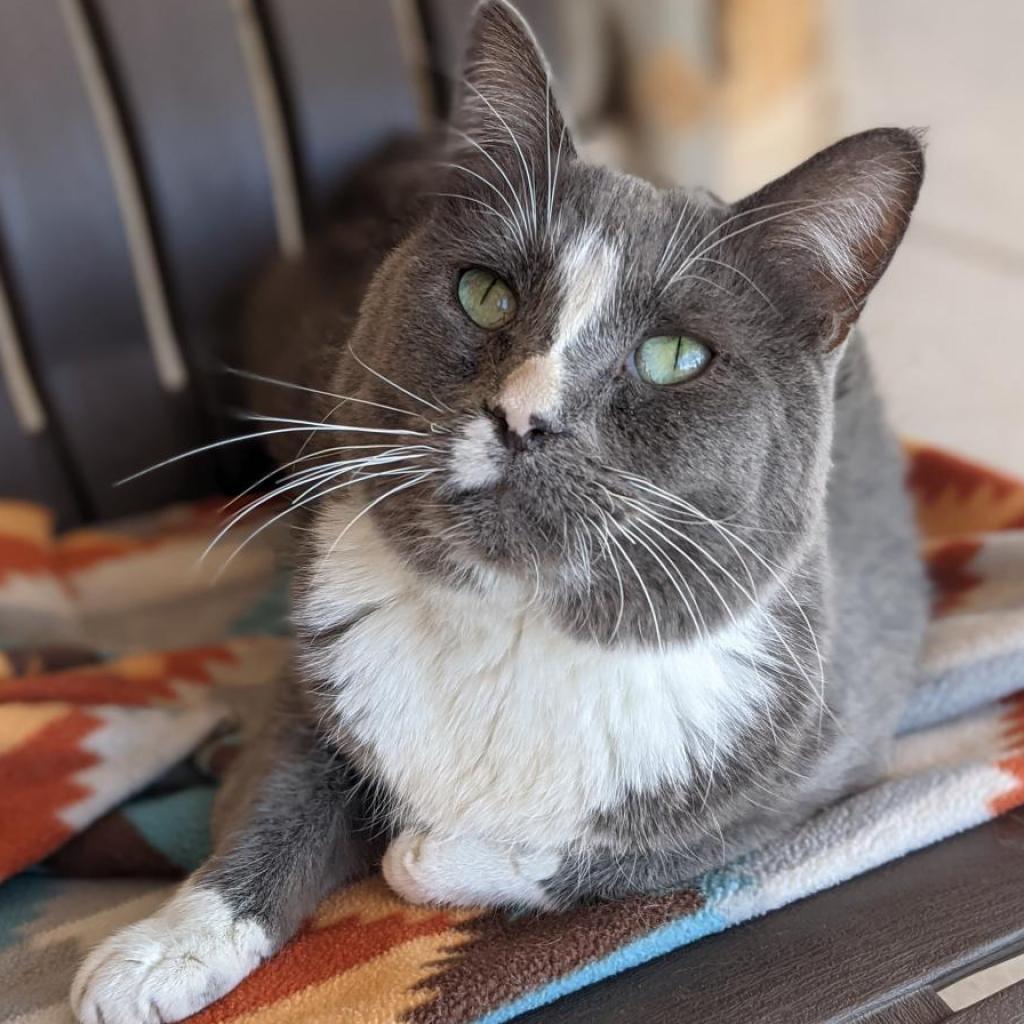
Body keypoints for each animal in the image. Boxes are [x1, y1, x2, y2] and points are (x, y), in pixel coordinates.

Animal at [70, 2, 929, 1024]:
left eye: (674, 356)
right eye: (485, 292)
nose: (522, 418)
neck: (512, 631)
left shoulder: (822, 753)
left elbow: (629, 854)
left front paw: (427, 849)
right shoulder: (316, 682)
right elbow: (274, 801)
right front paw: (162, 950)